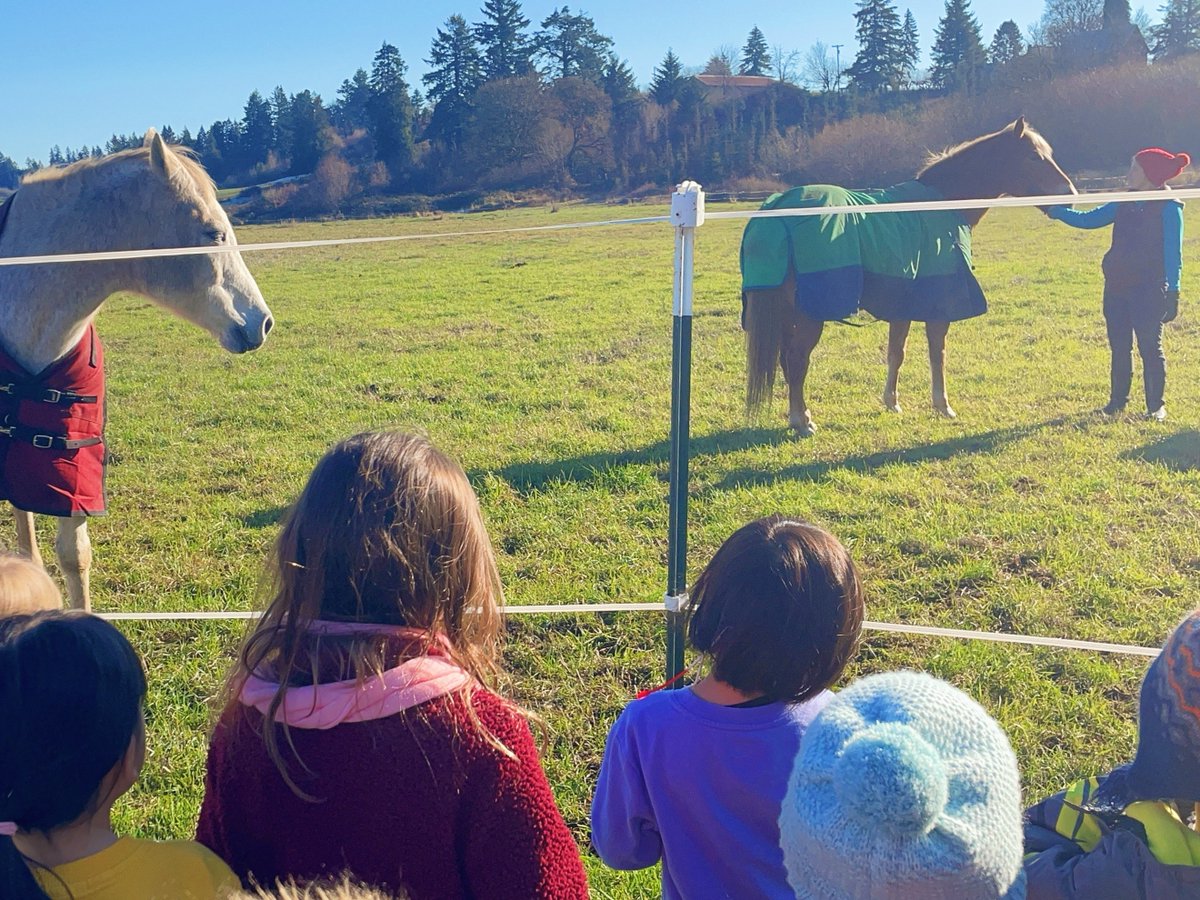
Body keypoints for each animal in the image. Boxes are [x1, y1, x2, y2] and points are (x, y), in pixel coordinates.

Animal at [741, 117, 1076, 436]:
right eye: (1033, 157)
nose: (1070, 196)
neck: (941, 204)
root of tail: (777, 209)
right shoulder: (939, 305)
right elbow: (937, 354)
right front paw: (943, 406)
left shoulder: (903, 303)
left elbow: (896, 353)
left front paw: (892, 402)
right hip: (810, 314)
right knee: (797, 360)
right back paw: (803, 421)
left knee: (786, 360)